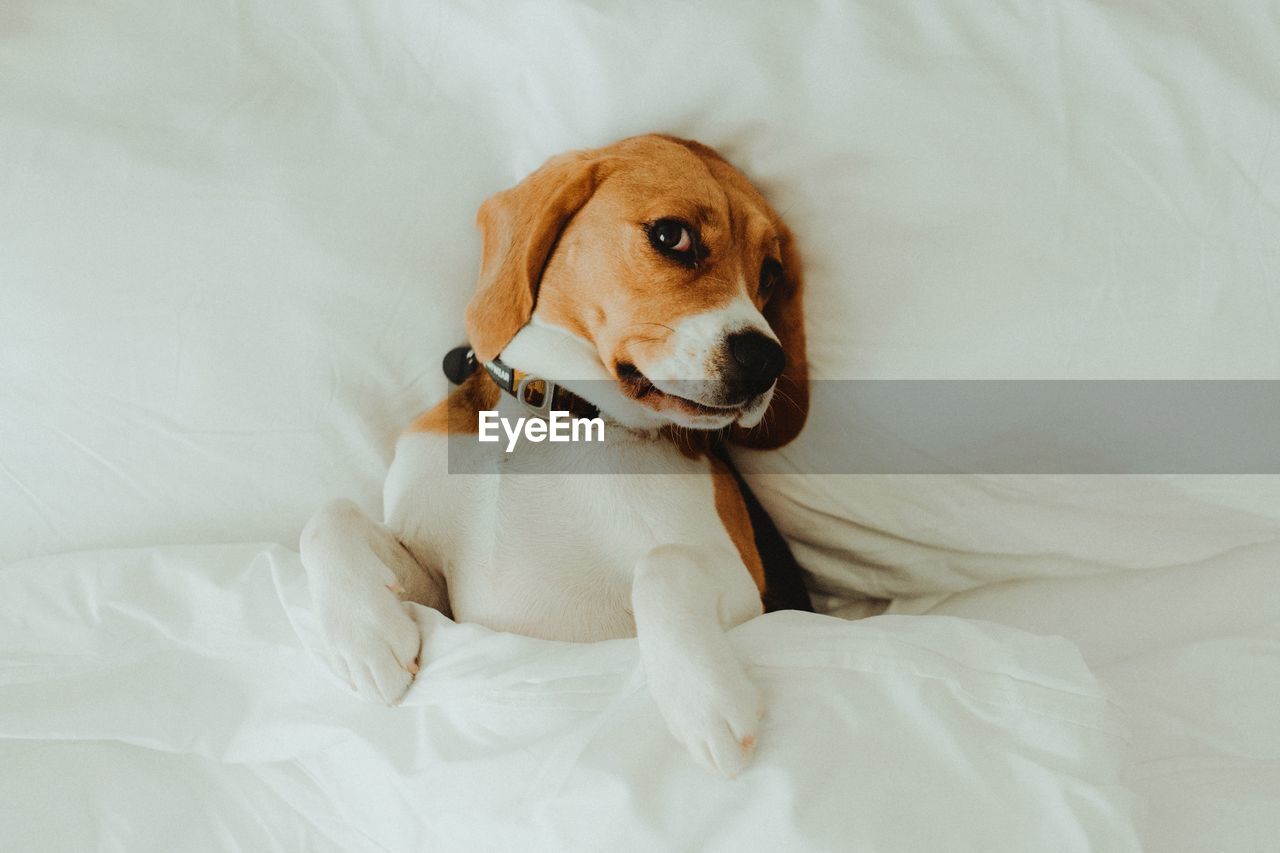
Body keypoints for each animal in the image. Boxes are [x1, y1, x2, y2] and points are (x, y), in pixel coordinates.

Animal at [295, 134, 803, 778]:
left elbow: (664, 562)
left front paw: (706, 699)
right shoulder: (446, 598)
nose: (767, 362)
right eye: (672, 236)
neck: (554, 424)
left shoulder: (749, 595)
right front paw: (363, 636)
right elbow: (328, 516)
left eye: (770, 273)